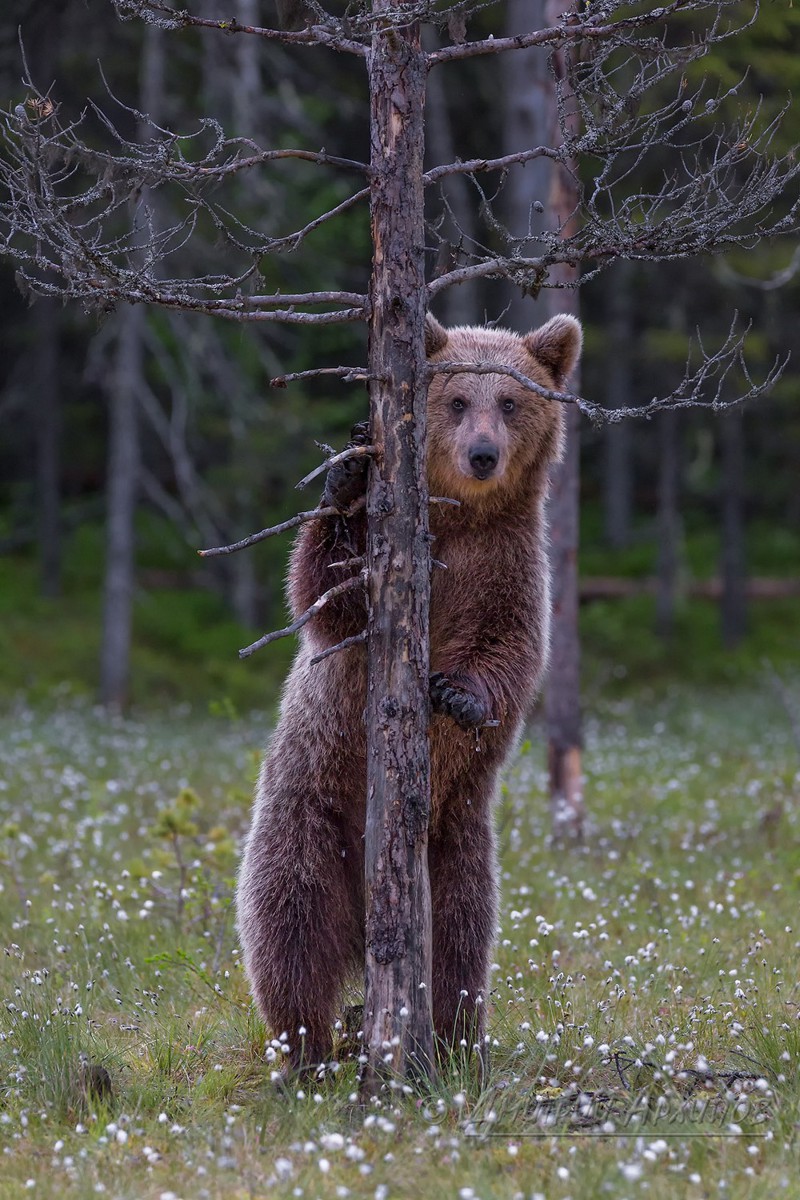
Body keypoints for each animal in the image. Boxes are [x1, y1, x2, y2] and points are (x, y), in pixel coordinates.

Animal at [236, 309, 582, 1070]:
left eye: (509, 400)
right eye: (455, 400)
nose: (482, 454)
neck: (458, 520)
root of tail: (369, 917)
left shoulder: (509, 567)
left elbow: (513, 651)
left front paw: (459, 695)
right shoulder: (383, 579)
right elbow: (326, 596)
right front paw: (343, 476)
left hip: (455, 840)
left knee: (460, 942)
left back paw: (452, 1038)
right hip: (308, 809)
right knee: (288, 925)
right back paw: (303, 1050)